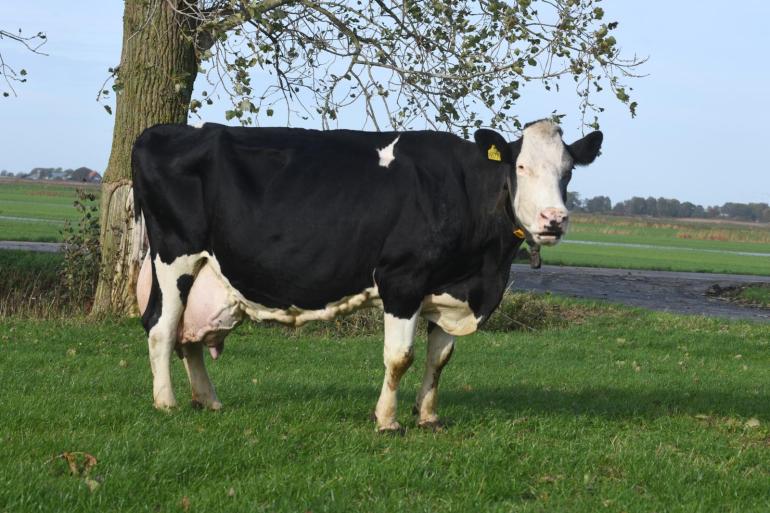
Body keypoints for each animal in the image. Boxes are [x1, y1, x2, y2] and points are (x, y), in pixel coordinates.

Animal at [130, 119, 600, 428]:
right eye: (520, 167)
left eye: (568, 171)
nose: (555, 219)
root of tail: (167, 130)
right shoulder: (402, 279)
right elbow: (400, 357)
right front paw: (388, 420)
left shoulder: (448, 289)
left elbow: (440, 358)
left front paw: (427, 417)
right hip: (174, 256)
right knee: (161, 327)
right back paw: (166, 403)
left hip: (207, 273)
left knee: (188, 336)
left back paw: (208, 400)